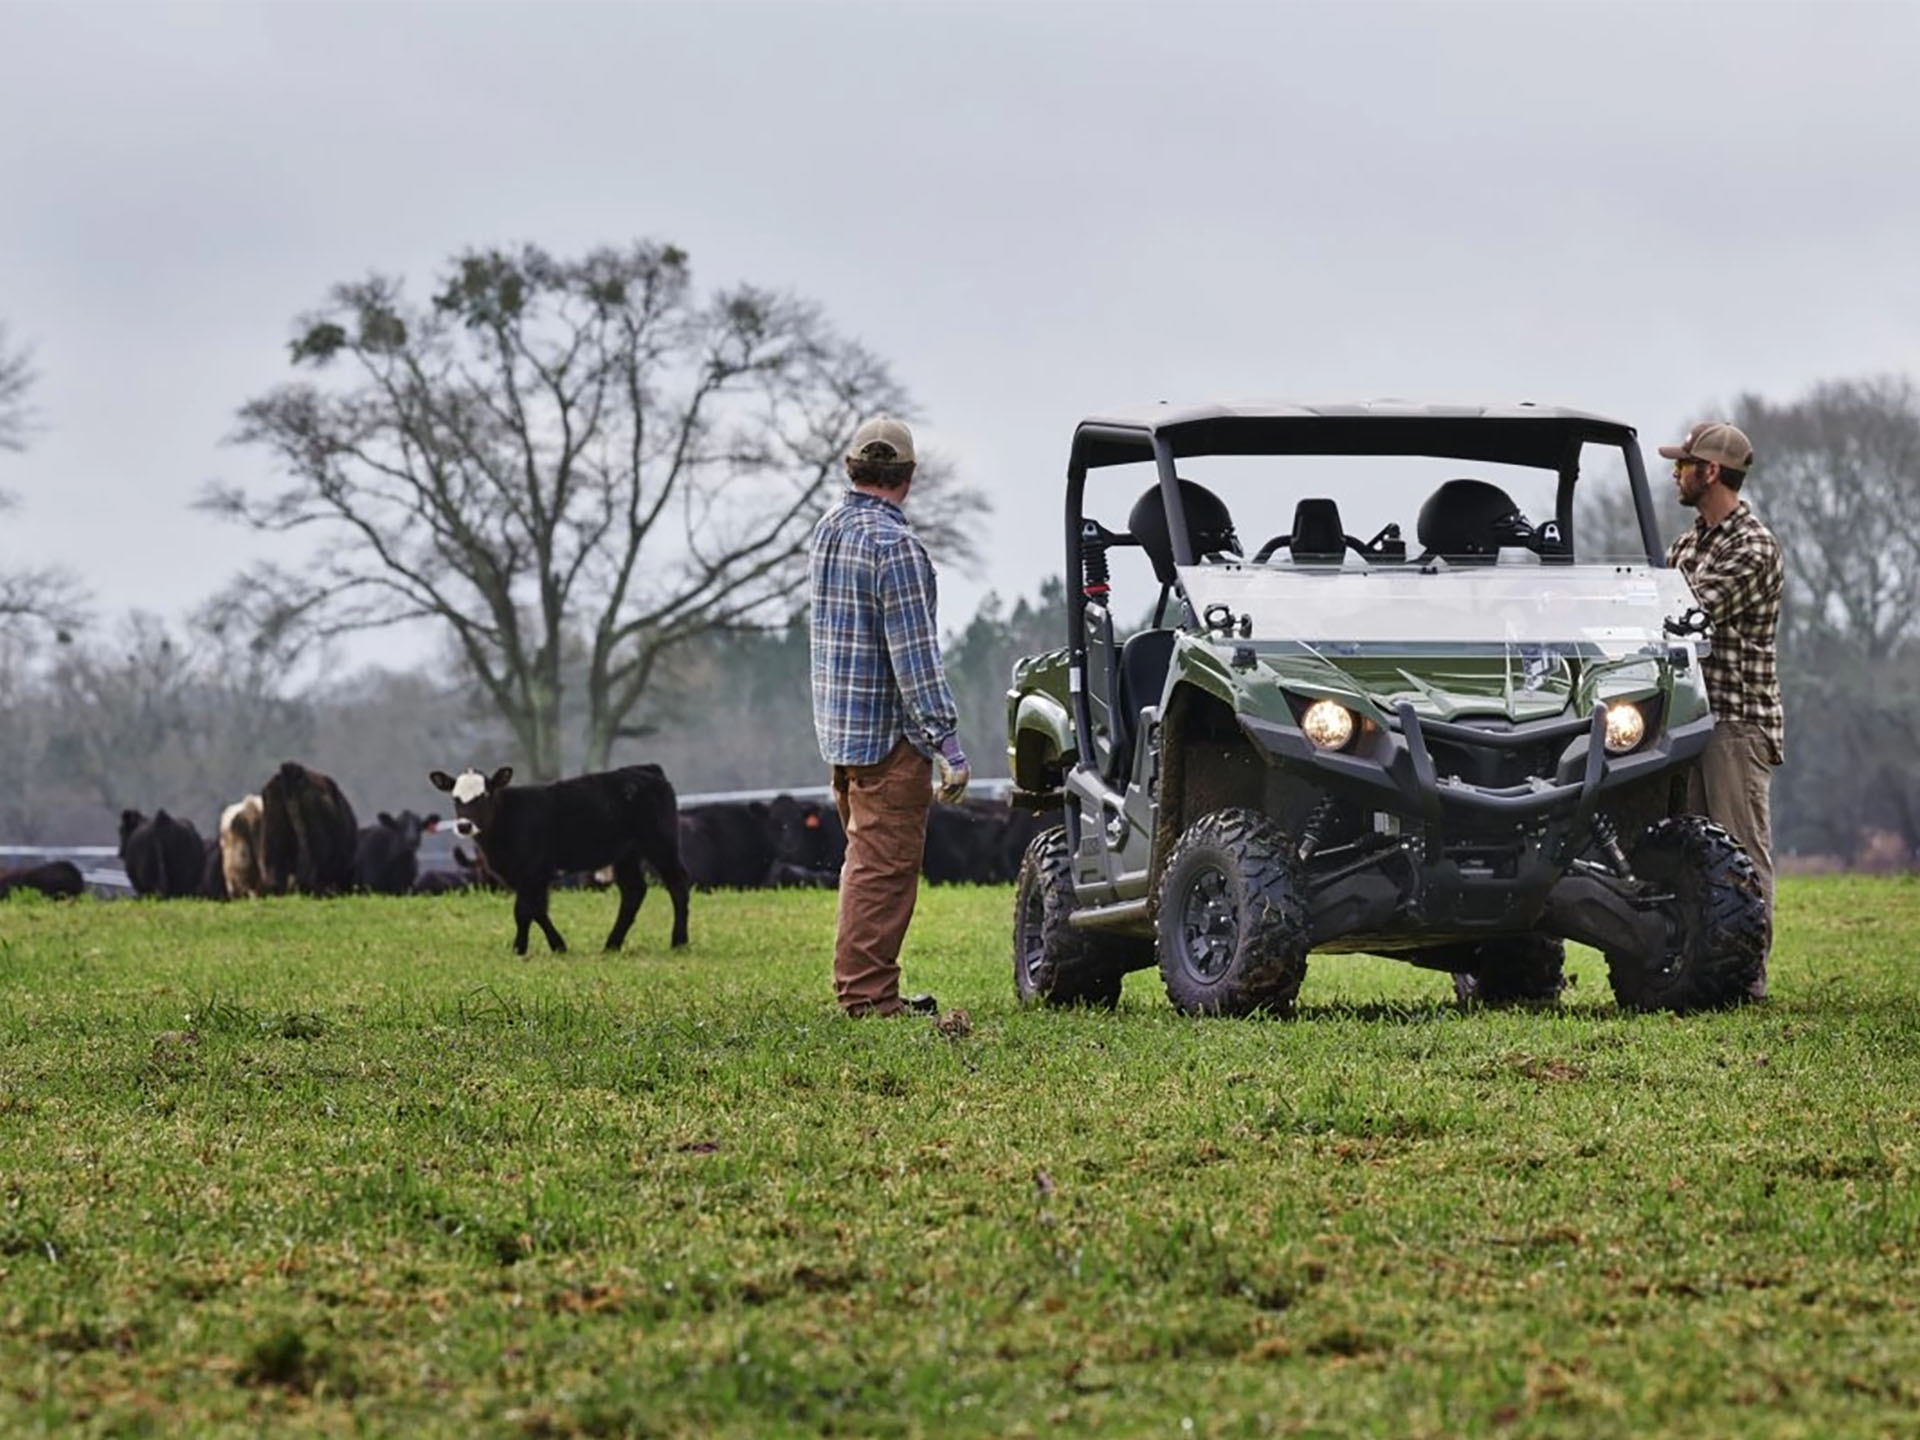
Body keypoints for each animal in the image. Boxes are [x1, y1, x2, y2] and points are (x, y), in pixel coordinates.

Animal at [428, 768, 691, 960]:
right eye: (455, 798)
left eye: (483, 795)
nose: (464, 825)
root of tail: (650, 772)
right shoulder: (528, 877)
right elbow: (536, 910)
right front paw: (557, 946)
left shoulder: (532, 872)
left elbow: (523, 911)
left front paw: (520, 949)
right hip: (626, 854)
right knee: (633, 891)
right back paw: (611, 945)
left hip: (661, 844)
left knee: (678, 884)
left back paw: (679, 942)